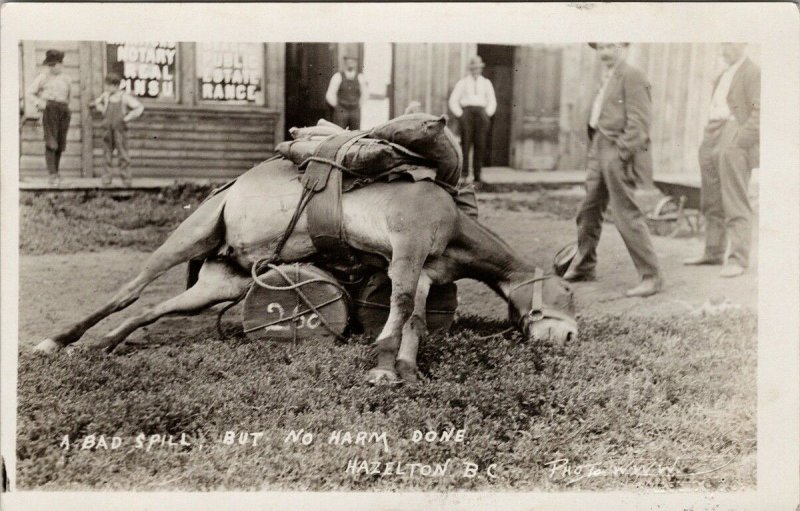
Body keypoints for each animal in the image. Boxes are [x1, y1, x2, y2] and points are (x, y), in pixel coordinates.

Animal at [36, 114, 576, 382]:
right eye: (569, 294)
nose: (570, 337)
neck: (451, 218)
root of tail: (234, 183)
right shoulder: (407, 250)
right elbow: (401, 307)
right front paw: (383, 365)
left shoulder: (423, 272)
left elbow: (417, 319)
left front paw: (404, 368)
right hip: (196, 230)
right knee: (130, 291)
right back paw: (58, 340)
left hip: (220, 282)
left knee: (152, 309)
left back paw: (103, 345)